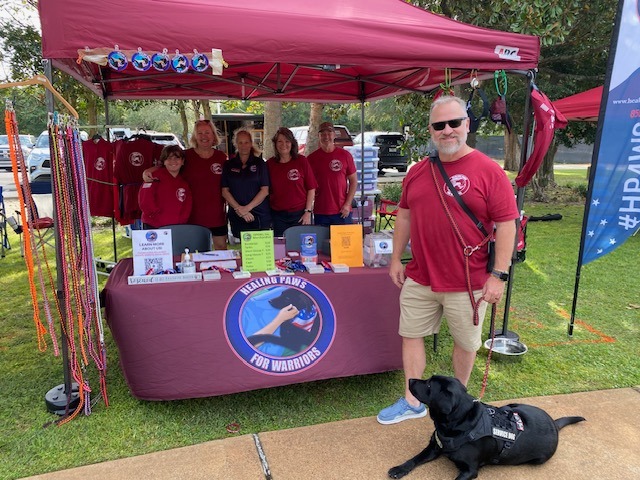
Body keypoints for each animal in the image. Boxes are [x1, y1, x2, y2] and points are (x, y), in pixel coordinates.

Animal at [389, 375, 585, 480]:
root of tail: (554, 423)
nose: (410, 379)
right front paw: (399, 469)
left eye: (429, 384)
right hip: (513, 406)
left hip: (539, 458)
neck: (457, 425)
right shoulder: (434, 447)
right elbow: (414, 458)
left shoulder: (470, 470)